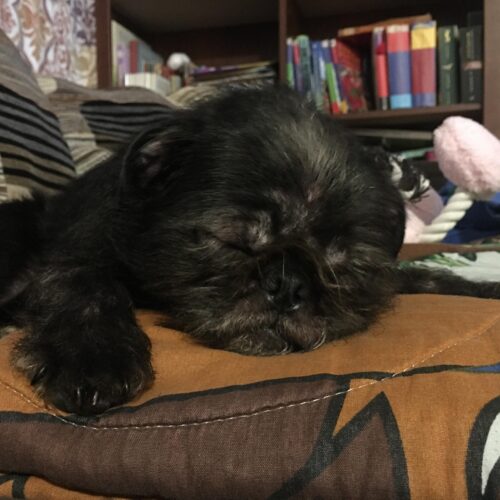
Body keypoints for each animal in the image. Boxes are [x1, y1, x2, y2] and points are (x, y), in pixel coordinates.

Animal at [1, 85, 499, 415]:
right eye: (233, 241)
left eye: (341, 265)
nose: (288, 286)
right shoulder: (73, 257)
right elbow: (84, 284)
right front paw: (94, 355)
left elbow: (420, 275)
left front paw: (479, 287)